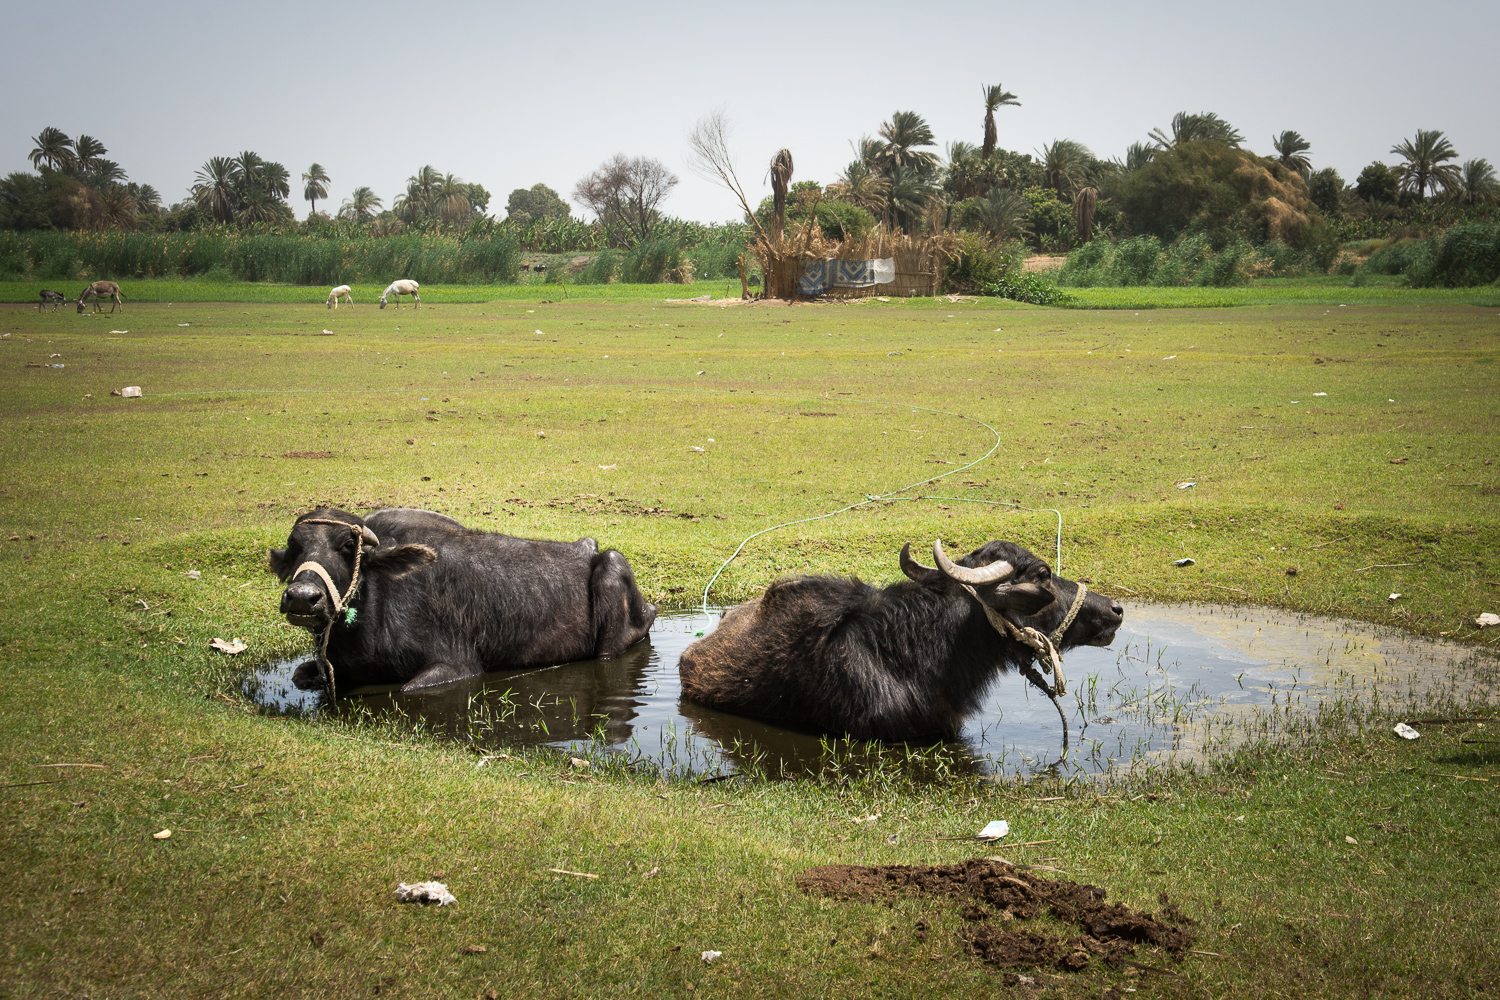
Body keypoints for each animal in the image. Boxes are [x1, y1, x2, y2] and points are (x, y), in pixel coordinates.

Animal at [271, 509, 657, 695]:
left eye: (349, 547)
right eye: (294, 546)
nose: (303, 598)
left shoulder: (456, 665)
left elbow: (407, 689)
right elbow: (298, 675)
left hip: (613, 570)